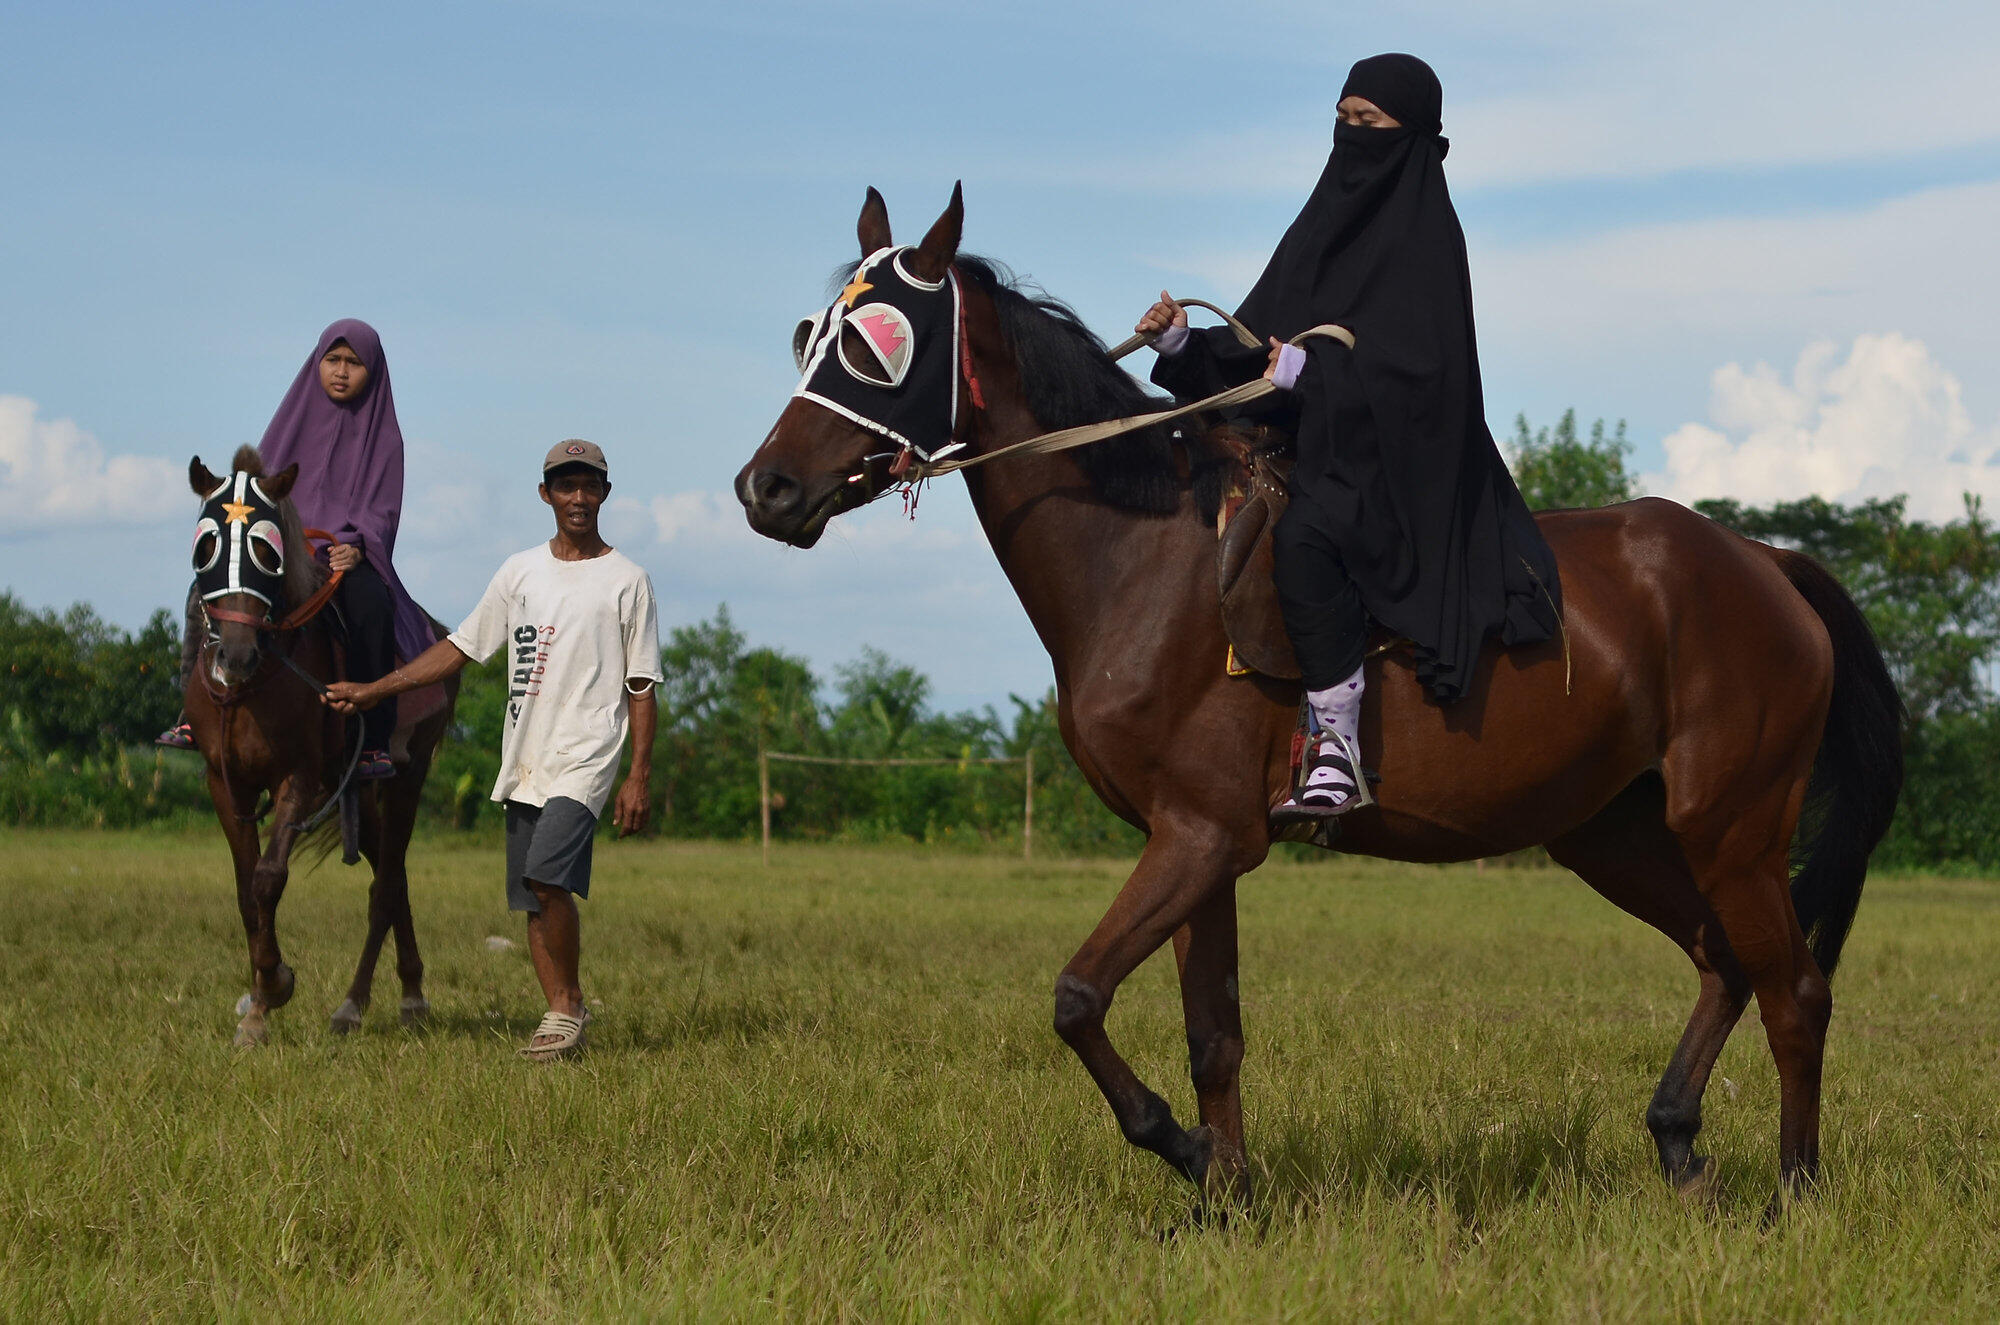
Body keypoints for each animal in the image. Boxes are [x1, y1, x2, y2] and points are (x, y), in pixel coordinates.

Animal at [185, 446, 458, 1048]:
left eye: (267, 551)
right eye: (205, 546)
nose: (233, 657)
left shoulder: (300, 777)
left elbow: (268, 879)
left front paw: (273, 990)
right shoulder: (224, 783)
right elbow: (245, 889)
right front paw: (260, 1000)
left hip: (406, 778)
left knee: (386, 886)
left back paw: (359, 1005)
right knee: (394, 878)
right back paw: (409, 990)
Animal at [740, 187, 1904, 1216]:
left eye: (876, 345)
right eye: (810, 336)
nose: (767, 490)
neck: (1142, 558)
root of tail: (1762, 561)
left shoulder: (1203, 838)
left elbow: (1077, 998)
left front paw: (1182, 1148)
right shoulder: (1194, 843)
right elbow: (1211, 1034)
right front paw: (1224, 1192)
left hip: (1734, 830)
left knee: (1795, 990)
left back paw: (1794, 1193)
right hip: (1611, 831)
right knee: (1724, 961)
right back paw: (1678, 1145)